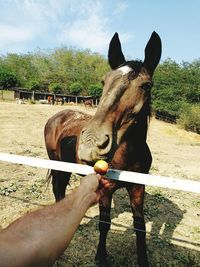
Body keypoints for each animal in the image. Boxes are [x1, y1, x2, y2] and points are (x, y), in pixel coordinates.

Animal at [44, 31, 162, 267]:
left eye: (146, 85)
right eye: (104, 81)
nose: (92, 142)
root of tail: (57, 116)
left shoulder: (138, 188)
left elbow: (140, 227)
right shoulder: (105, 189)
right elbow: (104, 224)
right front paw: (101, 257)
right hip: (59, 166)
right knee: (58, 191)